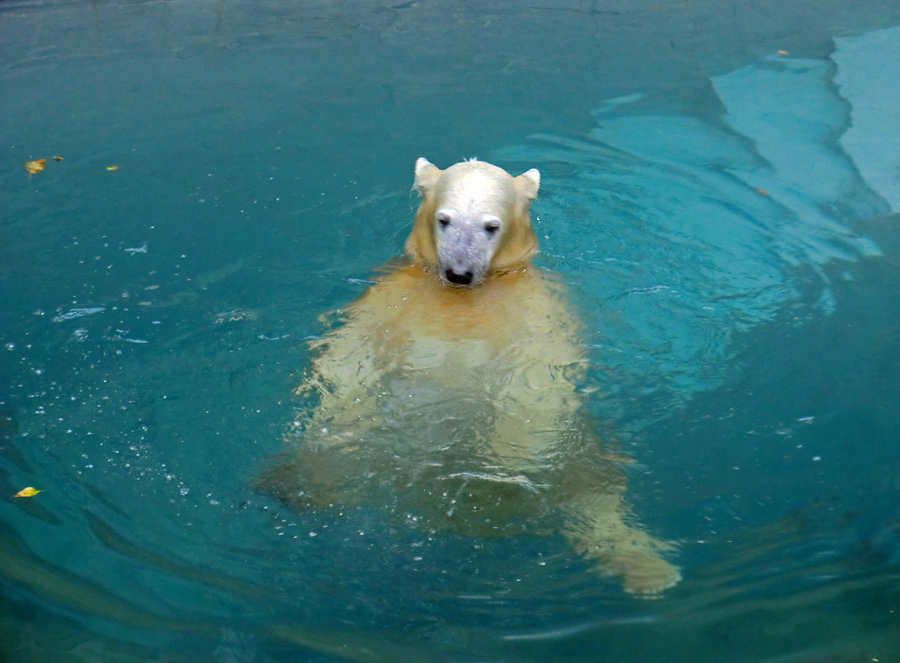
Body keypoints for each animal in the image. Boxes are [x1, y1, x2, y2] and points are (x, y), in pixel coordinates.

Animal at [262, 157, 684, 596]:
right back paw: (297, 486)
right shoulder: (391, 295)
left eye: (491, 226)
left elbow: (539, 373)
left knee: (595, 491)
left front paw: (506, 462)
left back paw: (648, 570)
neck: (465, 297)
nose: (459, 272)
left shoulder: (538, 309)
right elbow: (348, 354)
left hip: (583, 450)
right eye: (444, 220)